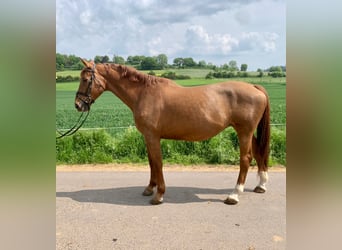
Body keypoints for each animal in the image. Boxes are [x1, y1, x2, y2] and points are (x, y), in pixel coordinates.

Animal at [75, 59, 270, 205]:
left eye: (85, 79)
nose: (78, 105)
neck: (143, 93)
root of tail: (254, 87)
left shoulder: (153, 137)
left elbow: (158, 163)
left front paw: (159, 195)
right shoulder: (148, 137)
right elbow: (151, 163)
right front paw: (149, 188)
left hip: (244, 132)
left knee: (245, 159)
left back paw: (234, 195)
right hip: (247, 132)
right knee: (258, 153)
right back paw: (261, 185)